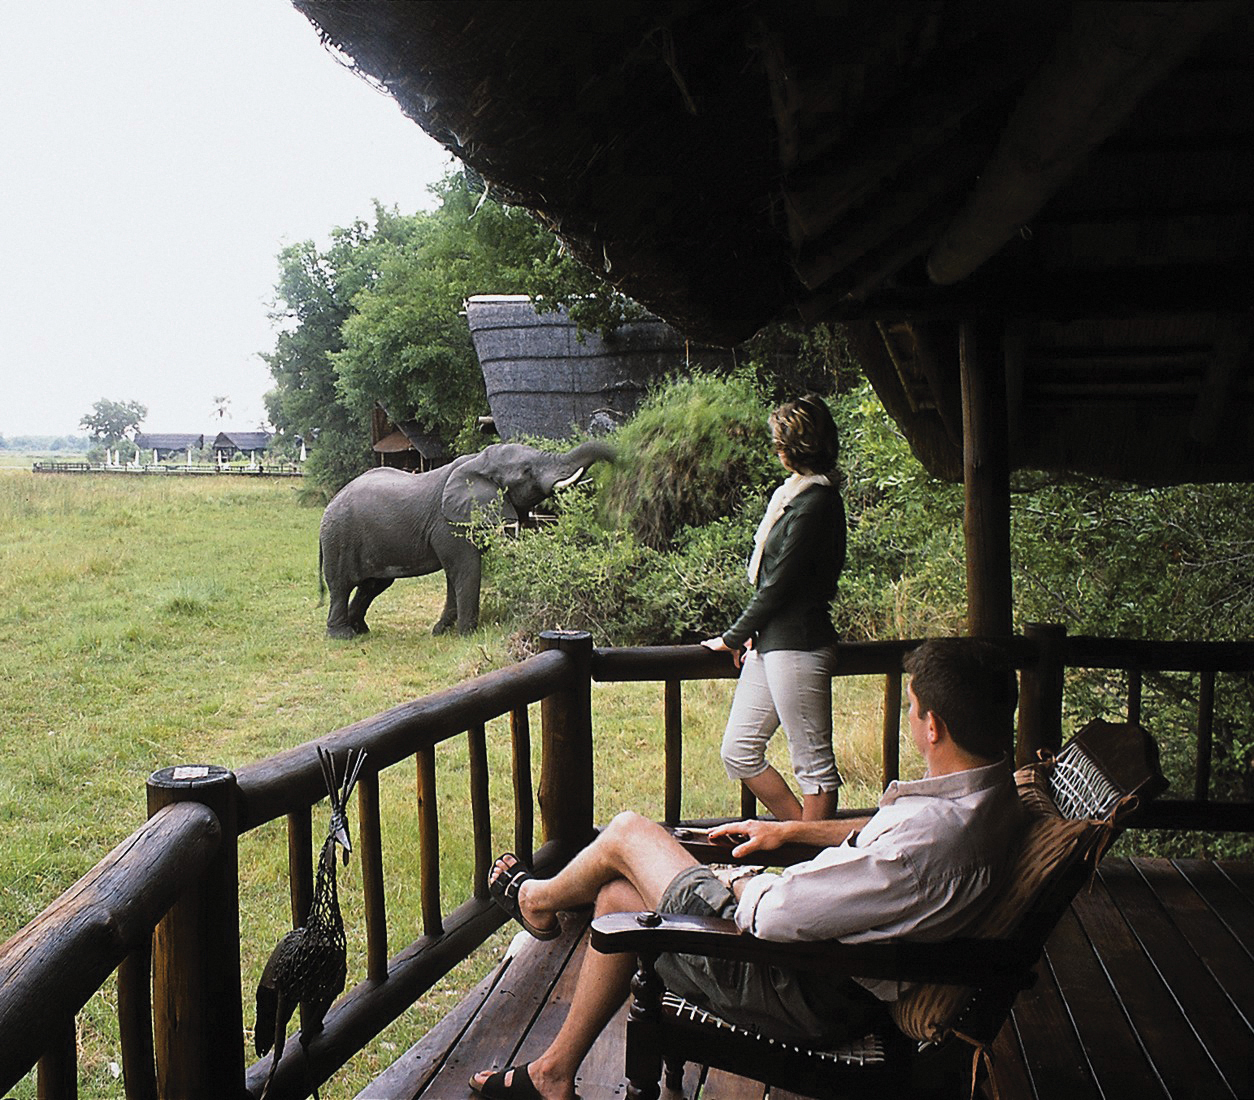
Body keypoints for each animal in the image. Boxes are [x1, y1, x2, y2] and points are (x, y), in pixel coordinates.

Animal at [318, 440, 615, 638]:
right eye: (527, 471)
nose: (618, 460)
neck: (477, 461)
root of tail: (331, 502)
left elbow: (455, 574)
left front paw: (441, 631)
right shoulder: (449, 523)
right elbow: (465, 567)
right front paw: (466, 634)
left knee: (373, 585)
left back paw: (361, 630)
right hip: (339, 537)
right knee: (341, 585)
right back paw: (343, 636)